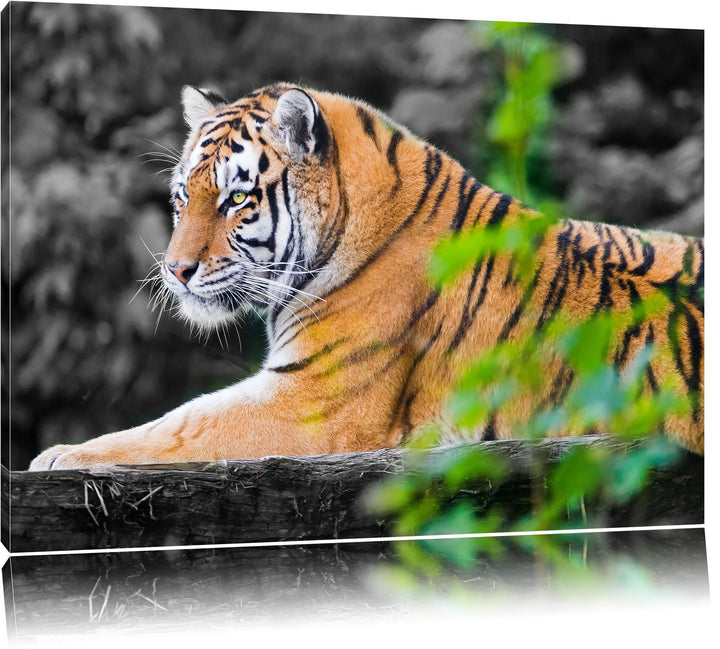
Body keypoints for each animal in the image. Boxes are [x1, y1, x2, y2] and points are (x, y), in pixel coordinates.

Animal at [29, 83, 704, 471]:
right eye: (180, 200)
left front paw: (62, 456)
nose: (175, 270)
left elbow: (183, 423)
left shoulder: (310, 402)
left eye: (235, 200)